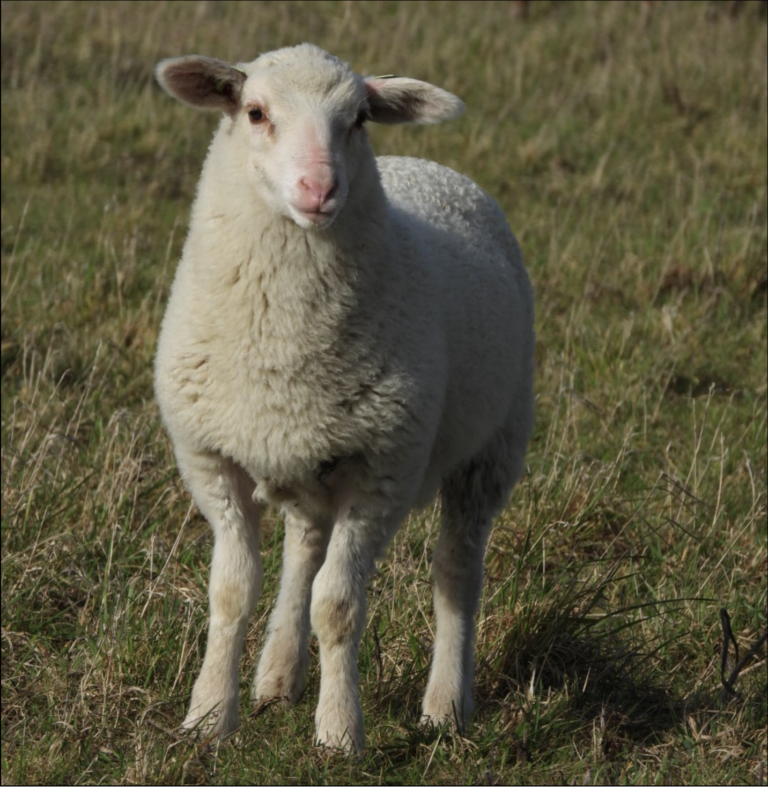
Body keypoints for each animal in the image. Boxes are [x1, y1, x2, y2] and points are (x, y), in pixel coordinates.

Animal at [153, 43, 535, 753]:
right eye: (255, 112)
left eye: (358, 118)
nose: (320, 189)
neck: (282, 345)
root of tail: (428, 166)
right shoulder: (212, 459)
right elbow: (232, 591)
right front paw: (208, 717)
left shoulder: (383, 469)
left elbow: (338, 603)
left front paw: (338, 733)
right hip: (311, 456)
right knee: (304, 550)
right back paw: (278, 676)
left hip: (493, 448)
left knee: (456, 572)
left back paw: (445, 705)